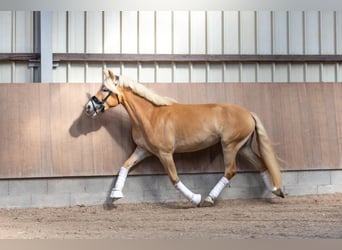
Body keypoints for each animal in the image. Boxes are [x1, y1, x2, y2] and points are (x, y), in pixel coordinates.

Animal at [86, 69, 286, 206]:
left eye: (104, 89)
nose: (88, 107)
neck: (151, 115)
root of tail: (248, 113)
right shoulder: (143, 150)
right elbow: (125, 166)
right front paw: (115, 194)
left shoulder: (165, 154)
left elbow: (174, 178)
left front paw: (195, 199)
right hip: (243, 147)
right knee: (261, 165)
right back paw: (276, 190)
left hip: (230, 145)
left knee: (231, 171)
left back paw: (208, 199)